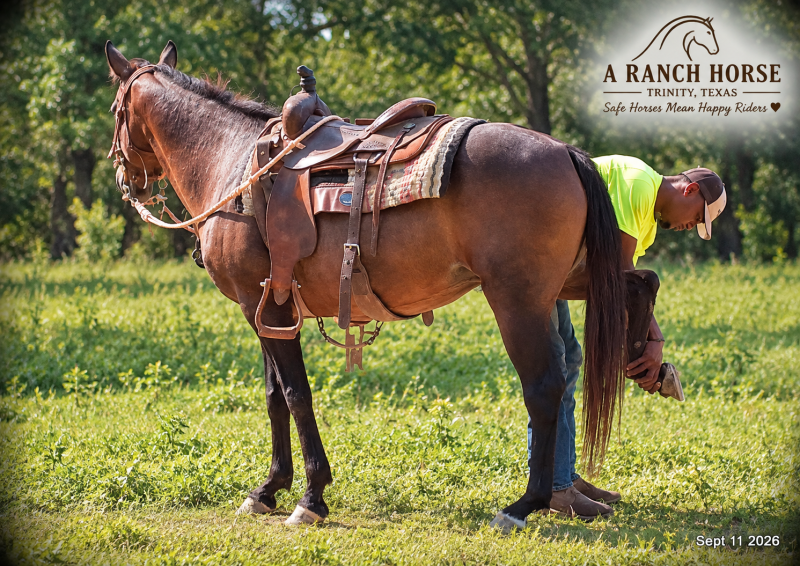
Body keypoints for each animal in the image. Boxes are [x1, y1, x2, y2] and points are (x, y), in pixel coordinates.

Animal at [104, 40, 633, 529]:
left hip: (517, 303)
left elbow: (296, 395)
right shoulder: (267, 310)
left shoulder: (263, 306)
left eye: (114, 111)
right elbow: (275, 397)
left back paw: (522, 506)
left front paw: (311, 497)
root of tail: (566, 151)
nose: (128, 181)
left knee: (543, 388)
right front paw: (269, 488)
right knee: (560, 382)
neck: (232, 163)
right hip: (545, 302)